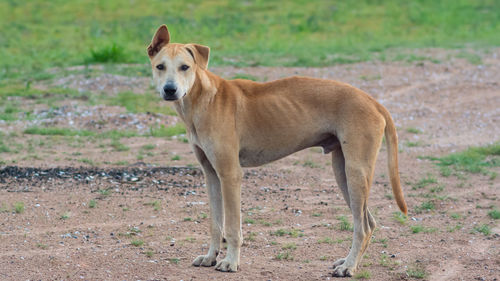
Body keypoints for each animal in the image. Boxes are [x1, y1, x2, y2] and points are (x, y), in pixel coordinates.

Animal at [146, 24, 406, 276]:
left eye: (185, 67)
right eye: (160, 67)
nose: (170, 89)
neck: (202, 100)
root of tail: (373, 101)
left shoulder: (230, 175)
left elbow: (232, 227)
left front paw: (230, 262)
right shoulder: (211, 175)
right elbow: (215, 224)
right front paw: (211, 257)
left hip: (356, 173)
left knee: (363, 226)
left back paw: (349, 267)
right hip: (343, 173)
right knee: (368, 222)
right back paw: (349, 262)